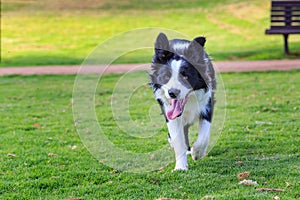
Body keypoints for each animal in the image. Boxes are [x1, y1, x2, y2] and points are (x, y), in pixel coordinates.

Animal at [149, 32, 216, 170]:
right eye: (166, 76)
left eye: (185, 76)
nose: (173, 93)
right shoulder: (170, 113)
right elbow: (178, 141)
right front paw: (180, 167)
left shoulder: (207, 105)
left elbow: (204, 136)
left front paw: (197, 152)